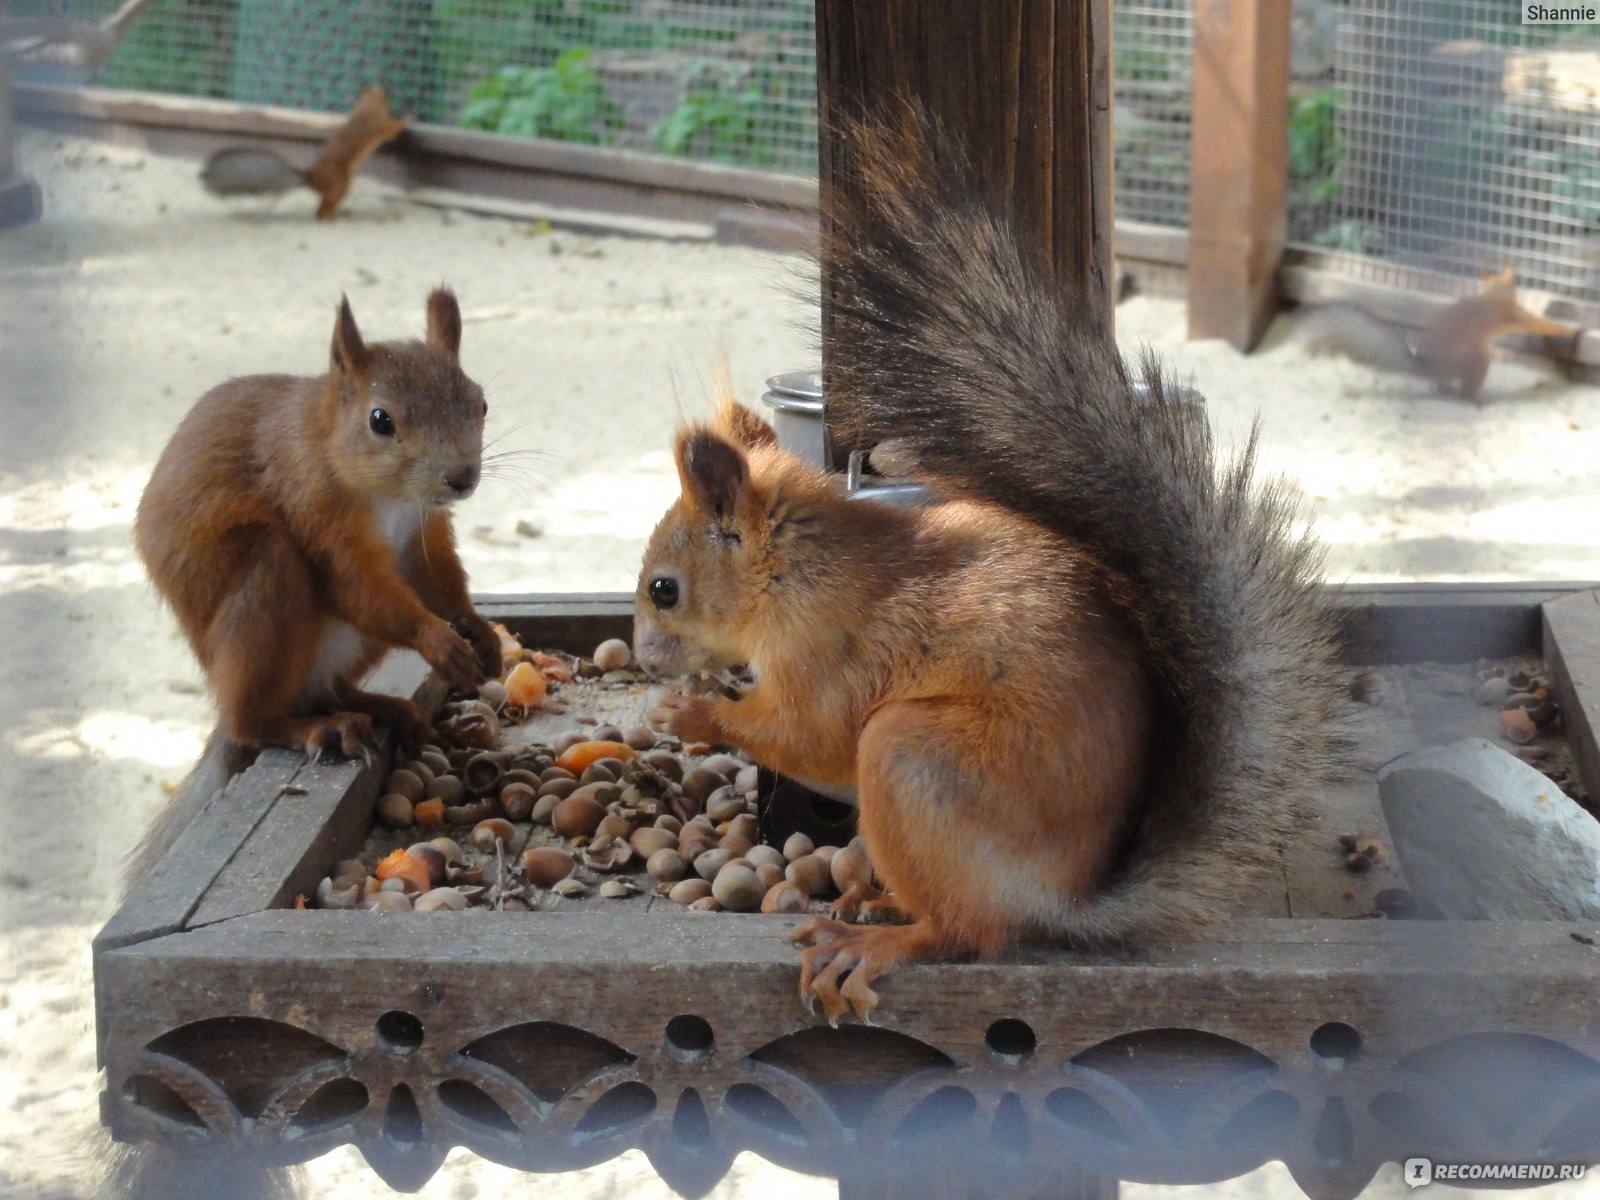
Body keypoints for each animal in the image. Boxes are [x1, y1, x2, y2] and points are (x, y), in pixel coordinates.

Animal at [128, 286, 496, 896]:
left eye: (481, 403)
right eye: (380, 420)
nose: (461, 478)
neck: (387, 496)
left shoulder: (421, 532)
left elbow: (437, 578)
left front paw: (480, 631)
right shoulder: (312, 506)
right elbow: (359, 588)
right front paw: (438, 641)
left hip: (345, 653)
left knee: (332, 688)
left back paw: (383, 707)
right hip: (267, 585)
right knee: (256, 722)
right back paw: (314, 727)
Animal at [200, 83, 409, 219]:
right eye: (388, 98)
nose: (395, 102)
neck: (367, 108)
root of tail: (310, 177)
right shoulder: (380, 126)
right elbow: (392, 130)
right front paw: (408, 118)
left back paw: (340, 212)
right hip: (341, 186)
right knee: (322, 211)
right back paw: (333, 216)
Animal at [630, 110, 1344, 1024]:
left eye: (664, 590)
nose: (643, 654)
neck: (798, 569)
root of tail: (1061, 901)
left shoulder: (833, 653)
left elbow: (811, 737)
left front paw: (691, 715)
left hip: (916, 763)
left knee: (968, 931)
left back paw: (877, 940)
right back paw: (876, 901)